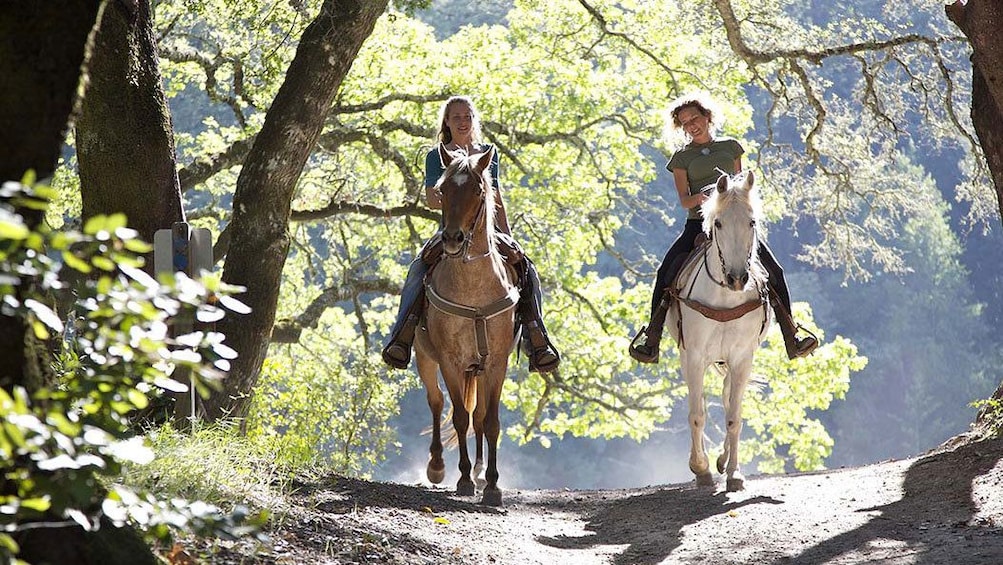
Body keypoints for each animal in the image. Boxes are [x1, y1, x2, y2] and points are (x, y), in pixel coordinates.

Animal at [411, 143, 517, 505]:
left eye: (478, 190)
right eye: (442, 190)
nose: (453, 239)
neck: (473, 292)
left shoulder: (497, 362)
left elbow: (491, 421)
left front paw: (493, 485)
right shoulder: (450, 361)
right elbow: (458, 416)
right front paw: (463, 480)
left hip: (479, 369)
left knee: (481, 417)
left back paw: (483, 472)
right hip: (424, 358)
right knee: (436, 402)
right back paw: (437, 466)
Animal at [665, 172, 774, 491]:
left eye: (752, 222)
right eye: (719, 223)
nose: (737, 278)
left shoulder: (742, 358)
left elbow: (734, 417)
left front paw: (734, 473)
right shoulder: (693, 356)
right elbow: (697, 415)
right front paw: (700, 469)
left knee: (727, 400)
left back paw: (724, 461)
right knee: (701, 402)